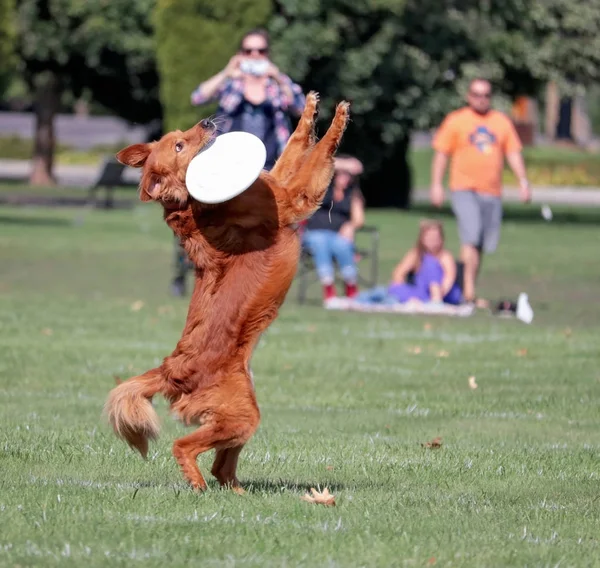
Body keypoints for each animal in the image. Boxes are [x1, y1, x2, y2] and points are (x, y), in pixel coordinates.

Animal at [101, 93, 350, 492]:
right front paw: (338, 117)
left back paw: (238, 492)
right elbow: (318, 154)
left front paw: (309, 109)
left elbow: (295, 147)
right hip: (240, 416)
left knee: (222, 465)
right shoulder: (293, 197)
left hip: (240, 411)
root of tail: (171, 368)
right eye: (179, 146)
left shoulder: (274, 182)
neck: (192, 204)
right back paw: (199, 485)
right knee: (183, 446)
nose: (205, 121)